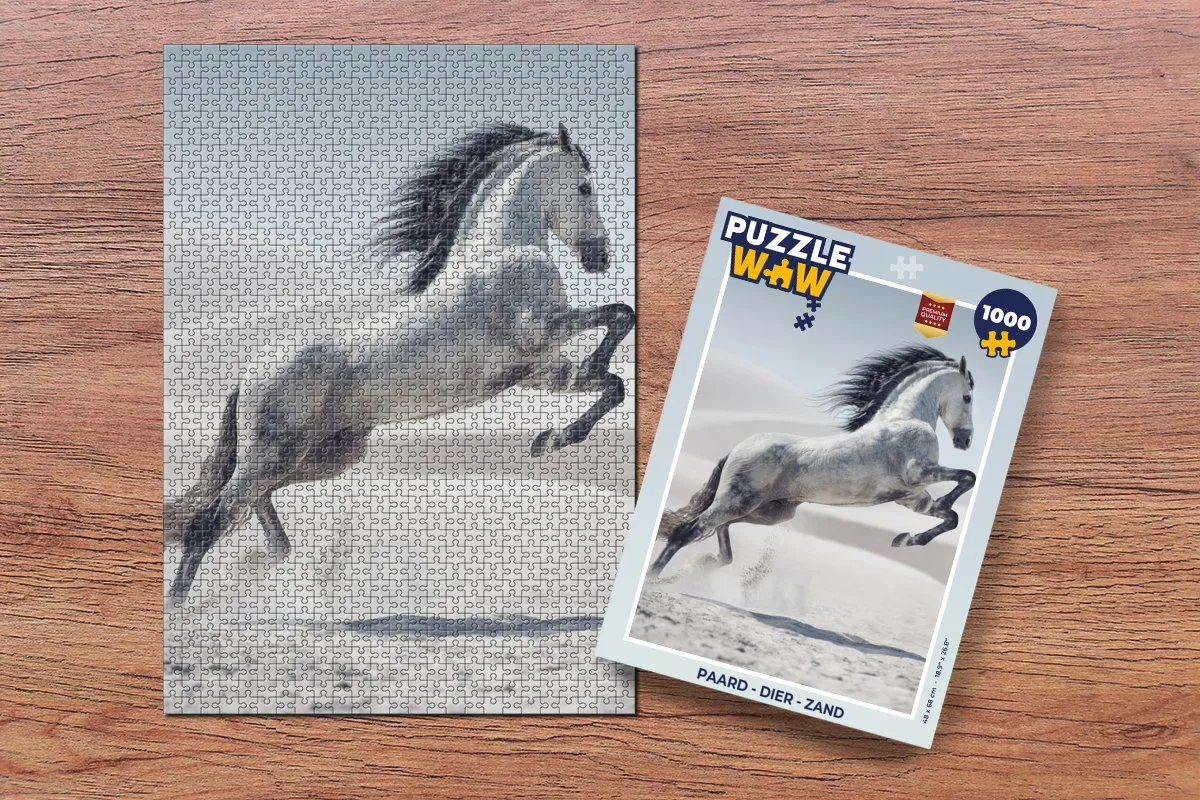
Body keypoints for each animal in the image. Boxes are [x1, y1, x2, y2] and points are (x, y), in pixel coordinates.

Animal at [165, 123, 635, 606]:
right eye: (585, 187)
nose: (600, 258)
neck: (501, 251)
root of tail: (247, 377)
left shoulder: (539, 371)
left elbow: (612, 383)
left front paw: (550, 439)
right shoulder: (541, 332)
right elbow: (621, 315)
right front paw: (579, 389)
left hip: (325, 456)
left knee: (250, 506)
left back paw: (270, 558)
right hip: (275, 454)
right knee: (209, 521)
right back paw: (181, 609)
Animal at [649, 344, 977, 577]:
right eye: (968, 397)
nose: (965, 441)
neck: (905, 418)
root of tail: (736, 449)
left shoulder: (911, 498)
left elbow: (951, 517)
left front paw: (905, 539)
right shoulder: (918, 473)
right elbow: (967, 478)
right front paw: (935, 510)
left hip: (769, 512)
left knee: (719, 534)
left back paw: (696, 568)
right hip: (738, 501)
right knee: (688, 530)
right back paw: (655, 579)